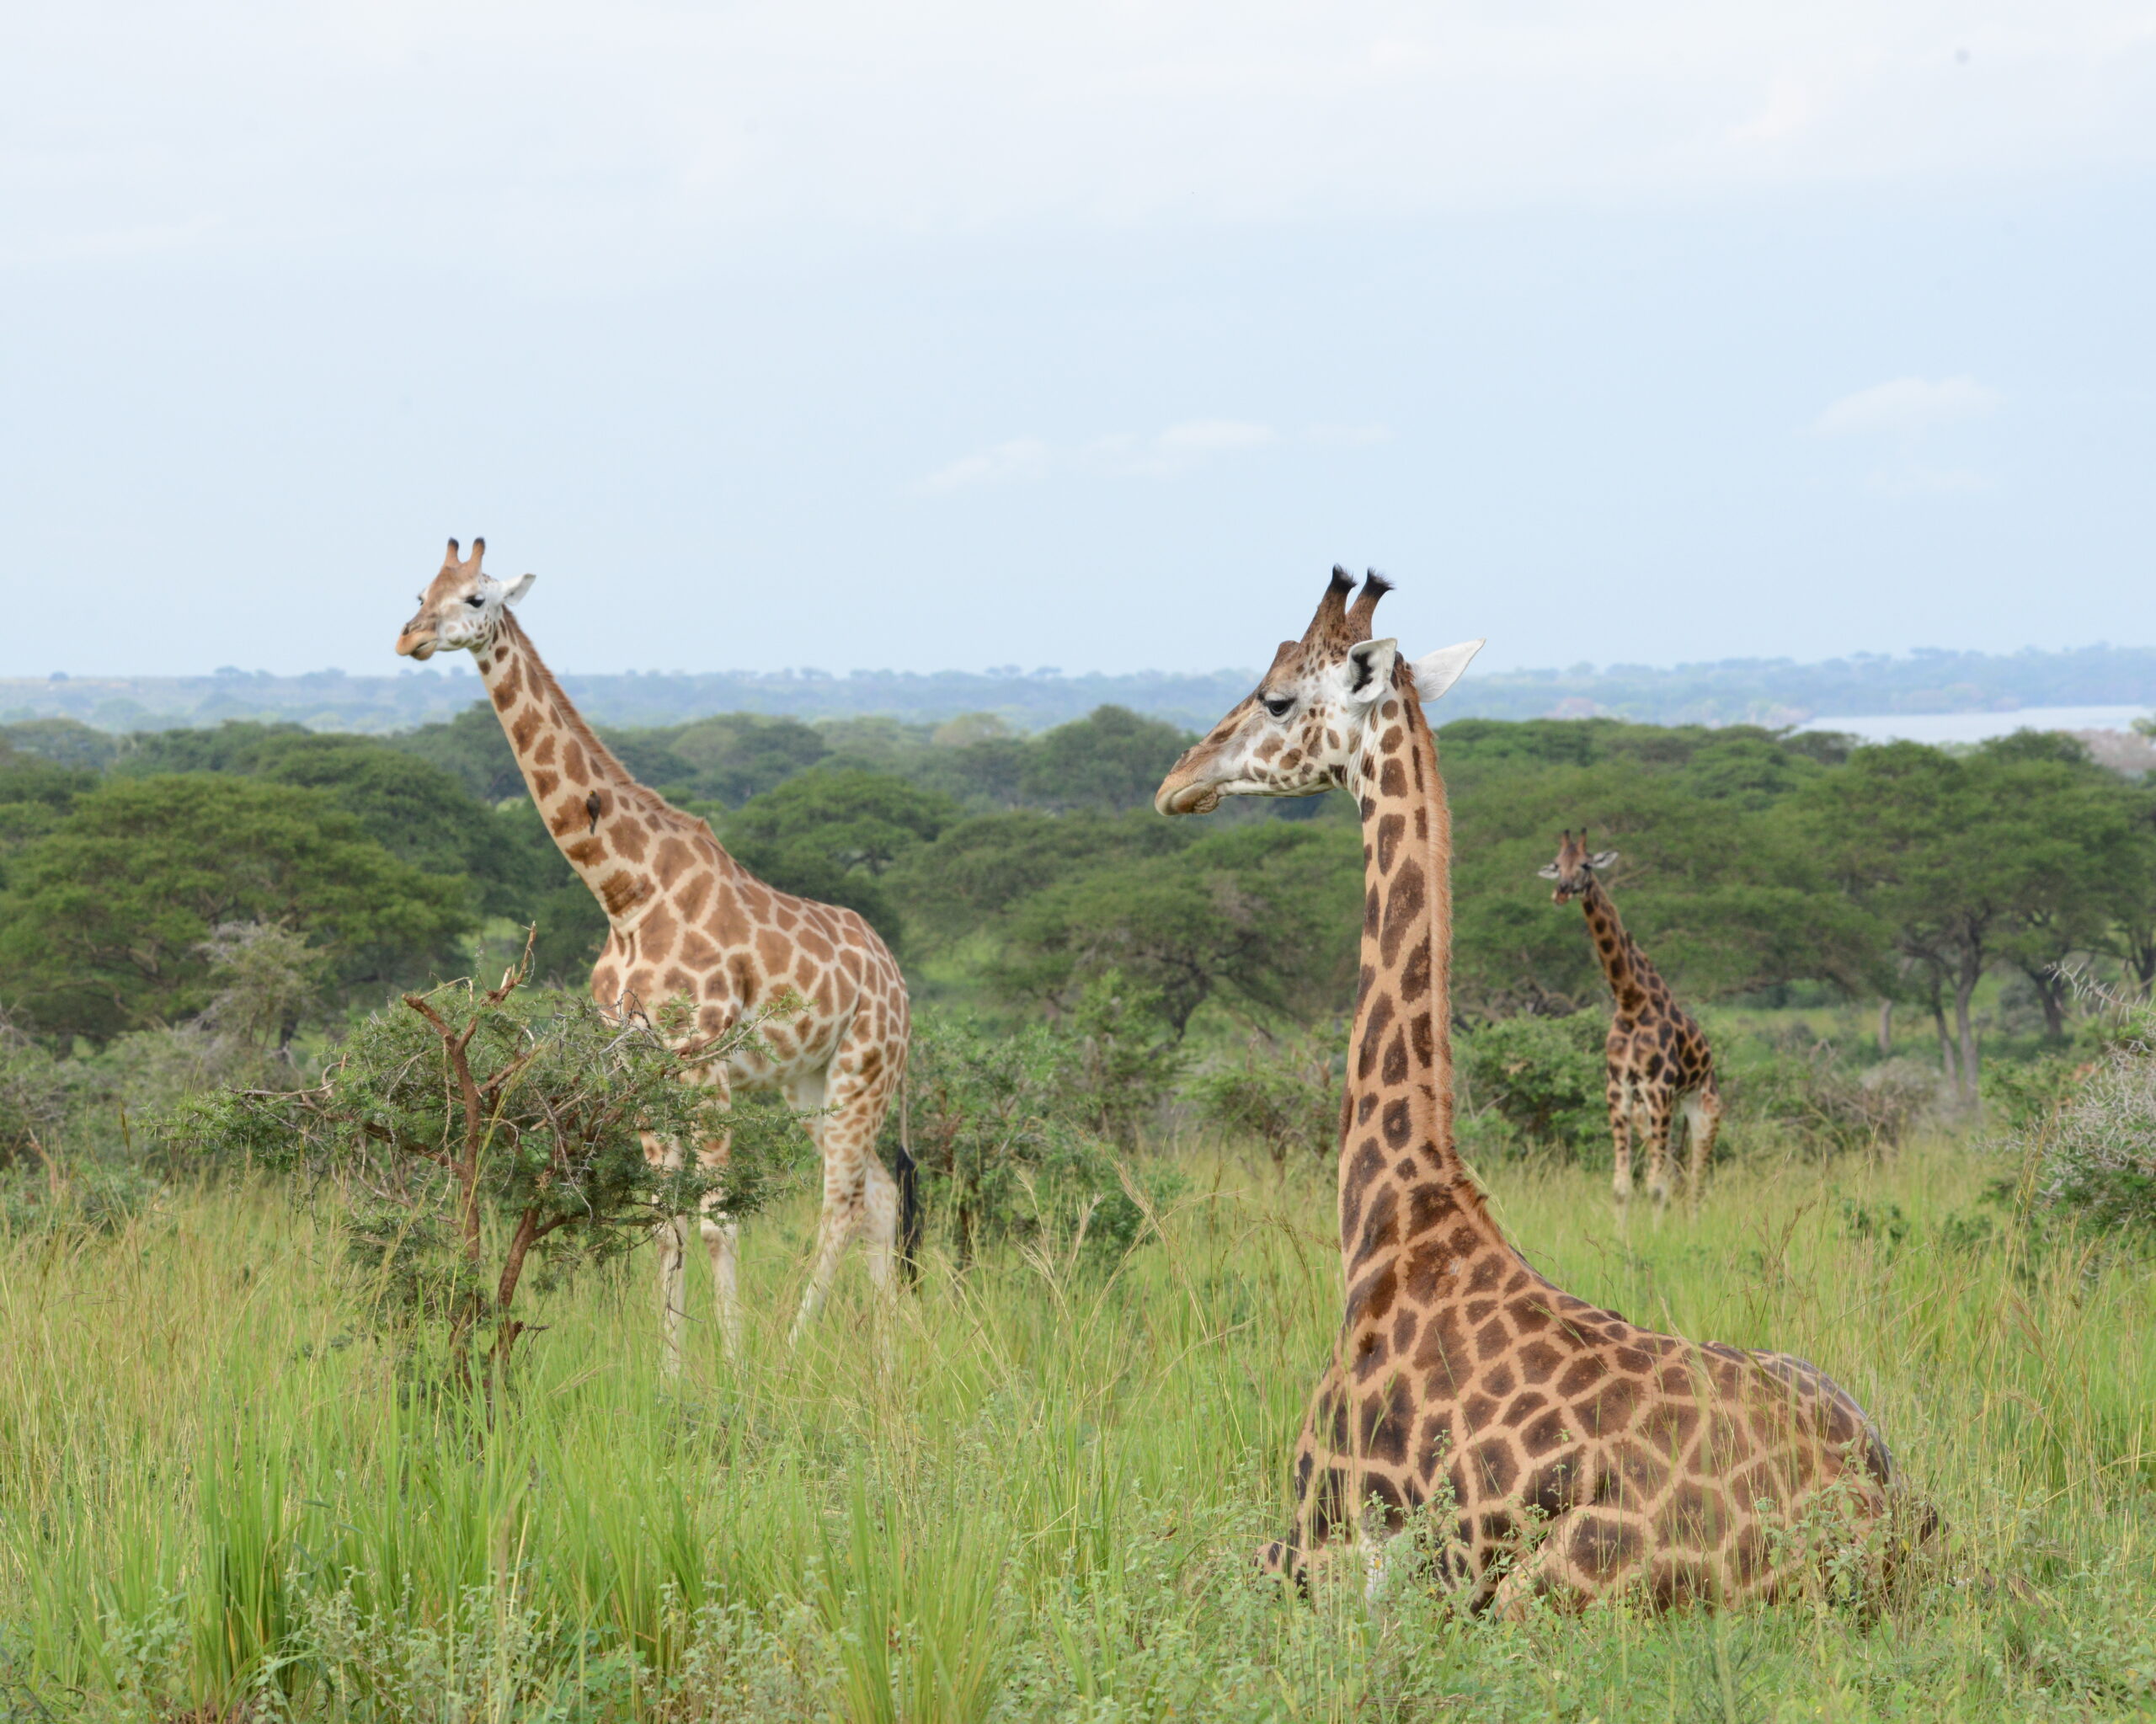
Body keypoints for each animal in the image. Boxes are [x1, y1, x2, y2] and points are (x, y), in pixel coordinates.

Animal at [401, 538, 914, 1370]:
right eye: (422, 590)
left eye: (476, 597)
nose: (408, 637)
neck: (624, 894)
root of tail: (898, 979)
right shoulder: (635, 1065)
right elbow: (663, 1222)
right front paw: (672, 1376)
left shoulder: (701, 1059)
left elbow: (717, 1218)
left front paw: (735, 1370)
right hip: (811, 1080)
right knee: (880, 1195)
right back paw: (889, 1360)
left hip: (865, 1067)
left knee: (840, 1200)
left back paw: (794, 1350)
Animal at [1543, 831, 1725, 1215]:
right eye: (1556, 863)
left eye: (1586, 864)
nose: (1562, 890)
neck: (1630, 1001)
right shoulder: (1619, 1089)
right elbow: (1623, 1186)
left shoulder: (1658, 1087)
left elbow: (1656, 1186)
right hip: (1654, 1114)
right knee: (1675, 1173)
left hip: (1704, 1111)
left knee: (1695, 1184)